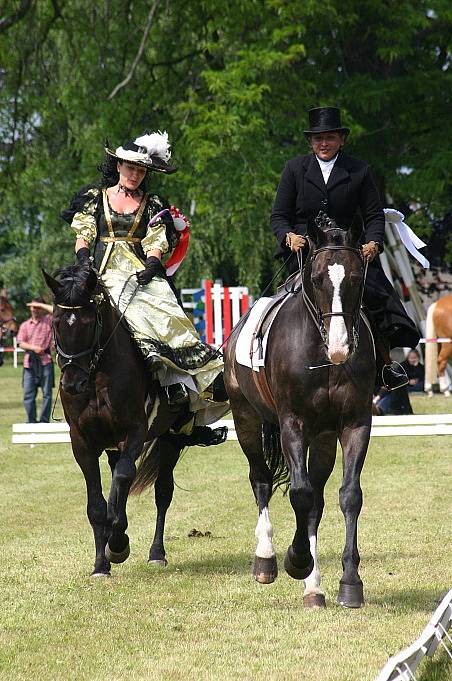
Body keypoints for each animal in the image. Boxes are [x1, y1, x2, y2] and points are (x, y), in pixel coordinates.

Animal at [44, 262, 224, 576]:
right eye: (56, 322)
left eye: (89, 323)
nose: (71, 384)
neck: (97, 375)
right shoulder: (82, 442)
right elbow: (97, 504)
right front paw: (100, 564)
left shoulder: (135, 432)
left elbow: (125, 478)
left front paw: (117, 544)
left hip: (171, 438)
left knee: (161, 492)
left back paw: (156, 553)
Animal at [224, 216, 376, 604]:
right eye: (318, 279)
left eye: (357, 278)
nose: (339, 348)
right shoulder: (292, 423)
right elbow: (299, 493)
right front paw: (296, 560)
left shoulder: (355, 424)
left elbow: (348, 496)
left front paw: (349, 583)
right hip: (246, 419)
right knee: (262, 480)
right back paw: (266, 560)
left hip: (321, 437)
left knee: (316, 501)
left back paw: (314, 587)